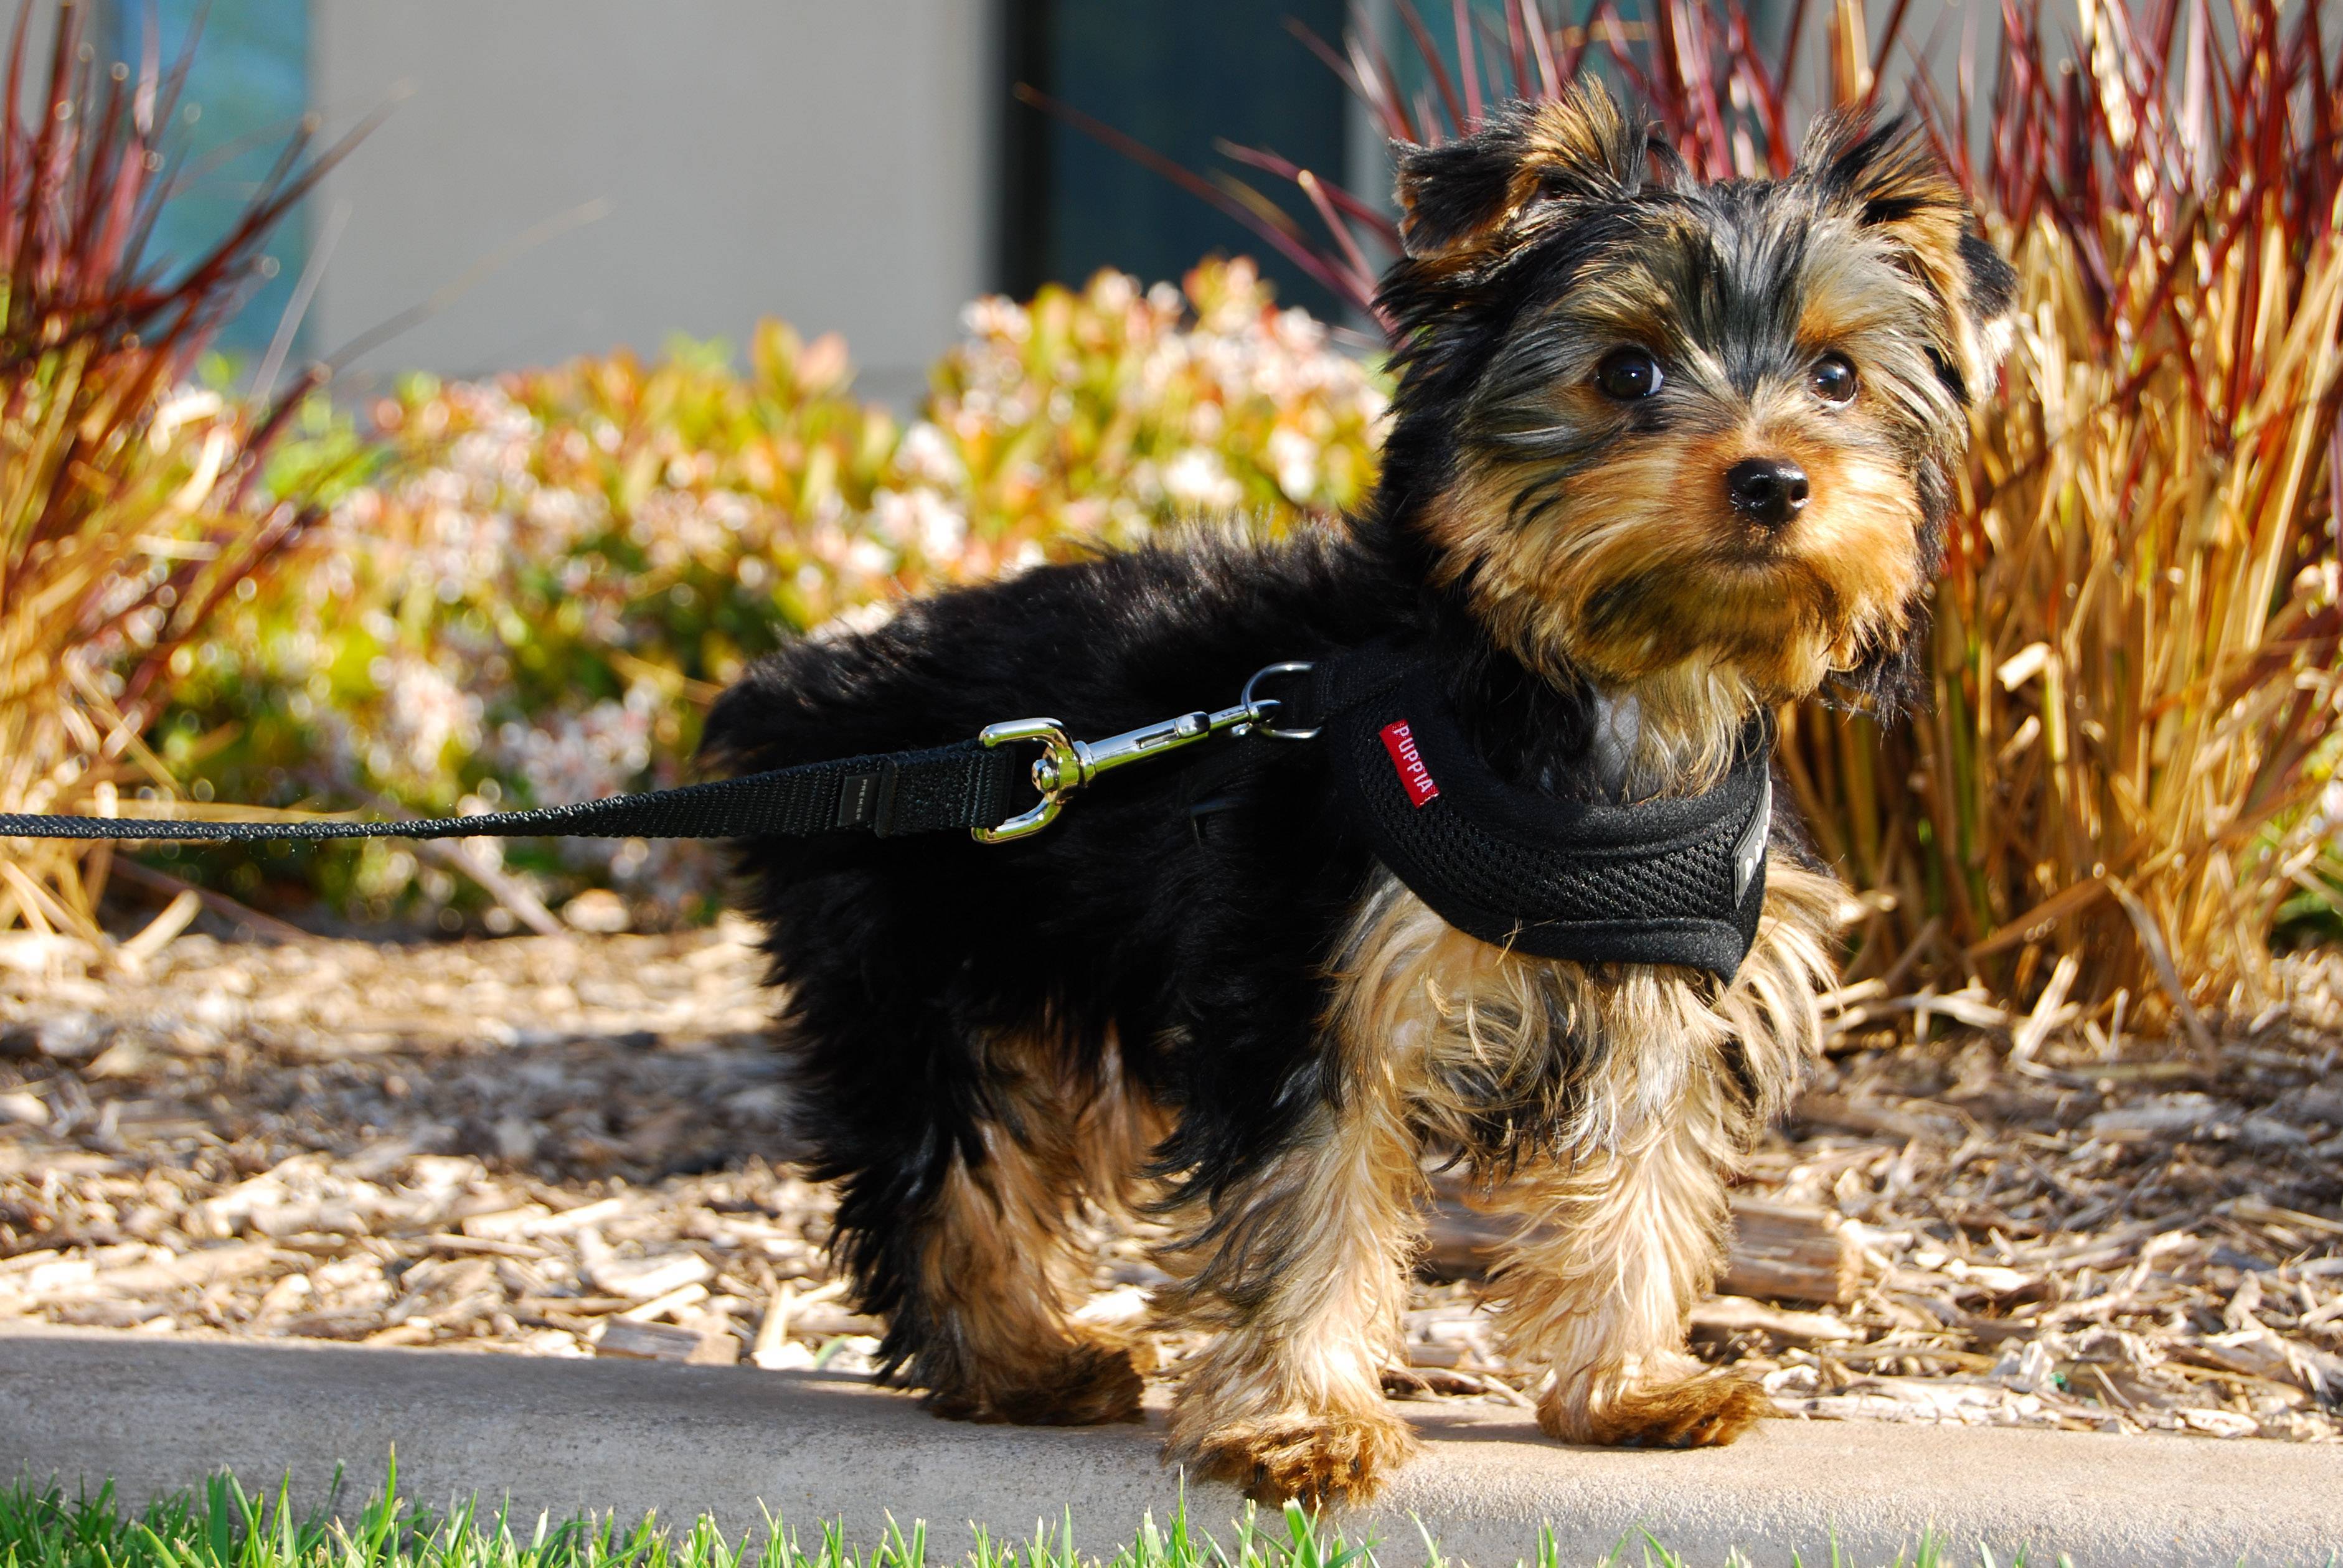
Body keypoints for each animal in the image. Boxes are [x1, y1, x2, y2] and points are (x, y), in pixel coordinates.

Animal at [698, 85, 2015, 1500]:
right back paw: (1013, 1360)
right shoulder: (1308, 971)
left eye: (1836, 376)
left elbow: (1641, 1187)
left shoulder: (1665, 1003)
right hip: (923, 957)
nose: (1772, 479)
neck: (1609, 688)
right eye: (1626, 371)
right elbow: (1312, 1196)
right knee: (945, 1158)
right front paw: (1303, 1417)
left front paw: (1627, 1383)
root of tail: (806, 689)